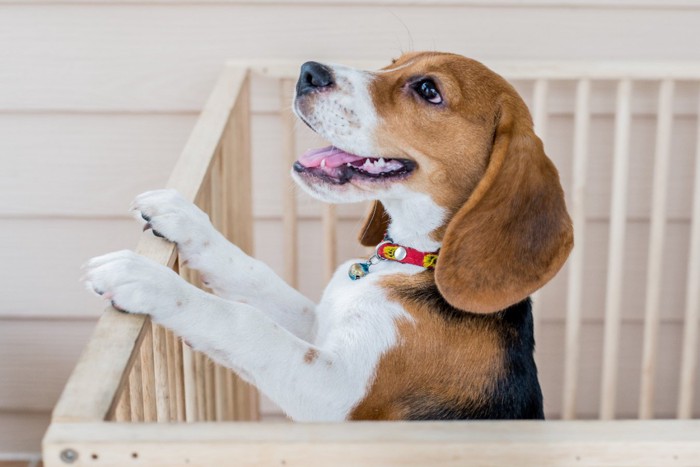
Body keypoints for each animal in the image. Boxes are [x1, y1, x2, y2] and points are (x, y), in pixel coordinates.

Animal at [83, 53, 576, 422]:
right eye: (392, 62)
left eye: (428, 90)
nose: (309, 72)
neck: (412, 259)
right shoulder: (321, 323)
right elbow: (256, 278)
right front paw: (185, 218)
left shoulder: (335, 390)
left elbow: (246, 322)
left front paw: (146, 280)